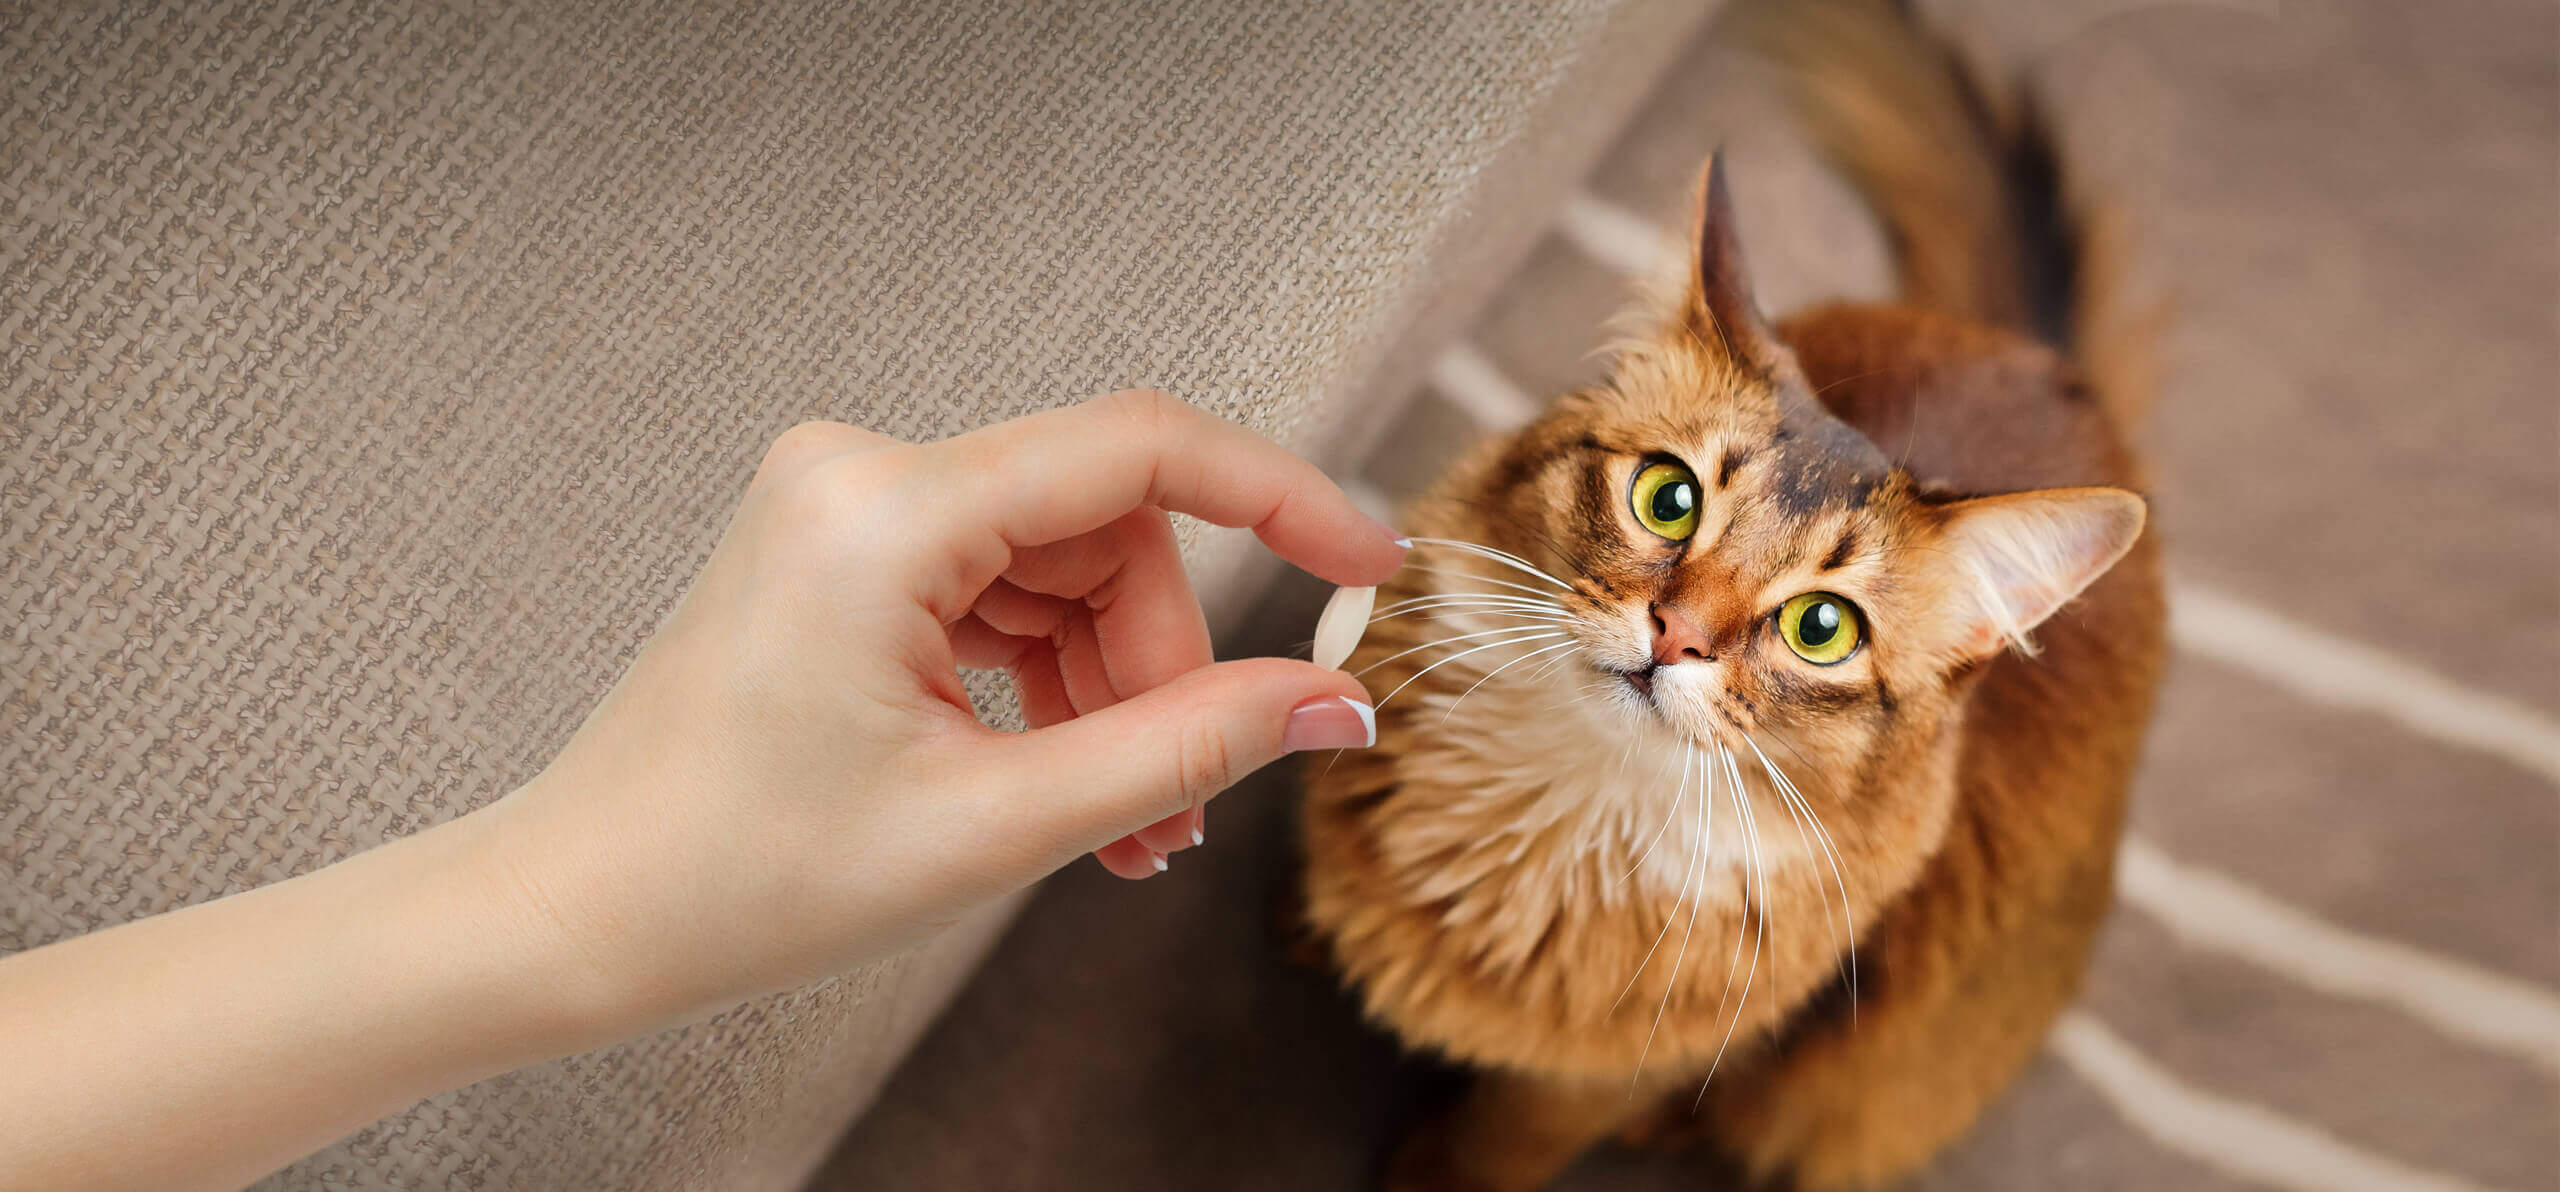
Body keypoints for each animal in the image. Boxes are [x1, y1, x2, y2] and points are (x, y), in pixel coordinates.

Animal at [1300, 4, 2160, 1186]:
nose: (1675, 635)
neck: (1561, 820)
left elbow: (1492, 1146)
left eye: (1821, 627)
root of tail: (2047, 363)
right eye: (1668, 500)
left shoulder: (1588, 1087)